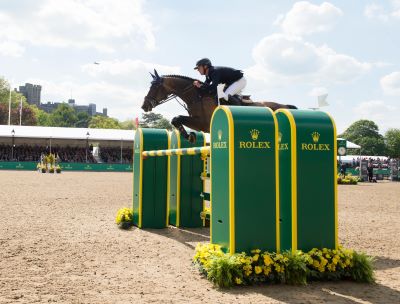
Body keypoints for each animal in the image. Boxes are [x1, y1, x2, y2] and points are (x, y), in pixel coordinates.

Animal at [141, 69, 296, 143]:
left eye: (155, 87)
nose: (144, 106)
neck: (197, 97)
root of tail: (285, 106)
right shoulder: (198, 123)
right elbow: (176, 119)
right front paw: (190, 136)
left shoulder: (203, 123)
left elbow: (177, 118)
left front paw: (189, 136)